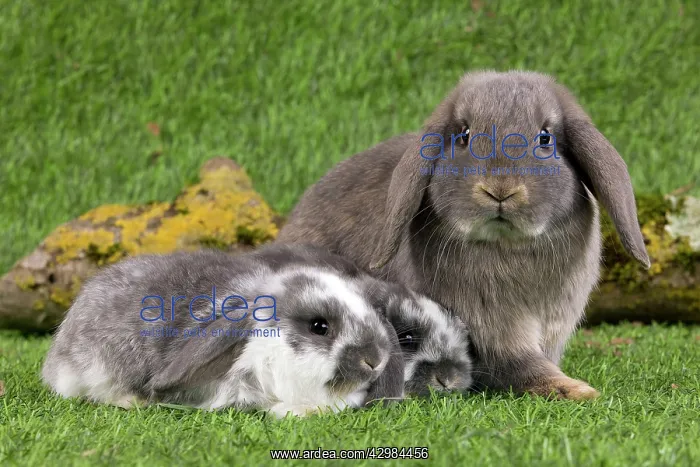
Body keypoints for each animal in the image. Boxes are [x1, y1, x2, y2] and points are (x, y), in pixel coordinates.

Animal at [275, 70, 651, 400]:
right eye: (464, 136)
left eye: (545, 138)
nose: (500, 189)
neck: (506, 246)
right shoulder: (493, 334)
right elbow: (521, 365)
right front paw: (574, 390)